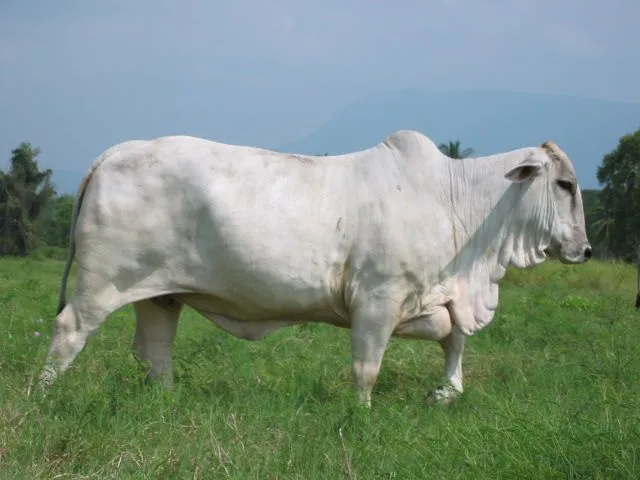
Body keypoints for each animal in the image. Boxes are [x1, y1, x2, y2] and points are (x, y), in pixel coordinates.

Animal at [37, 130, 592, 404]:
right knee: (68, 332)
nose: (585, 250)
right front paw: (362, 414)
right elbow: (367, 367)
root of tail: (118, 151)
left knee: (154, 351)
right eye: (565, 184)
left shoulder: (431, 296)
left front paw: (447, 391)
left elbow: (454, 337)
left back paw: (168, 403)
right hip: (100, 285)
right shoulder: (378, 299)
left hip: (160, 295)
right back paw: (39, 402)